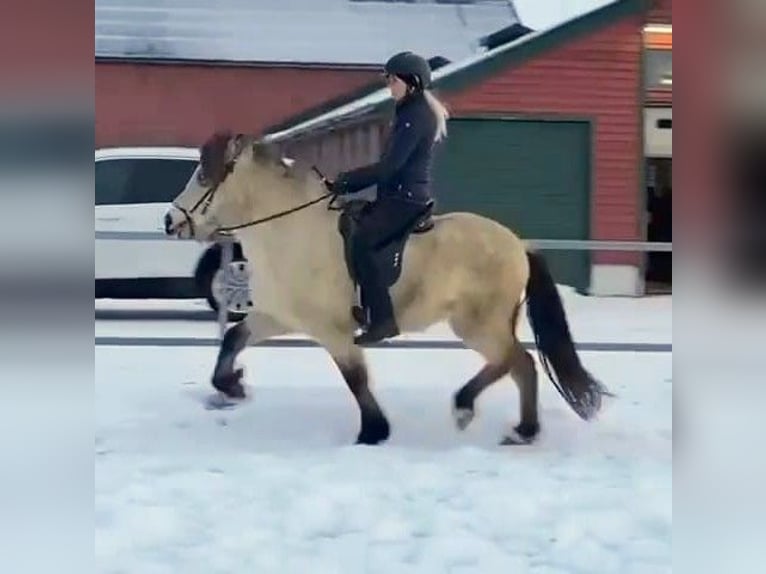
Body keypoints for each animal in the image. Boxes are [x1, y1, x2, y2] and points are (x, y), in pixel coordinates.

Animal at [163, 130, 610, 446]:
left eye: (203, 174)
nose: (170, 221)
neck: (290, 232)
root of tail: (518, 244)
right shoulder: (275, 317)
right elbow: (233, 339)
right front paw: (233, 385)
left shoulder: (334, 331)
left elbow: (356, 379)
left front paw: (373, 432)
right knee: (522, 366)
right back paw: (522, 431)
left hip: (478, 324)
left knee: (513, 361)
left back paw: (467, 408)